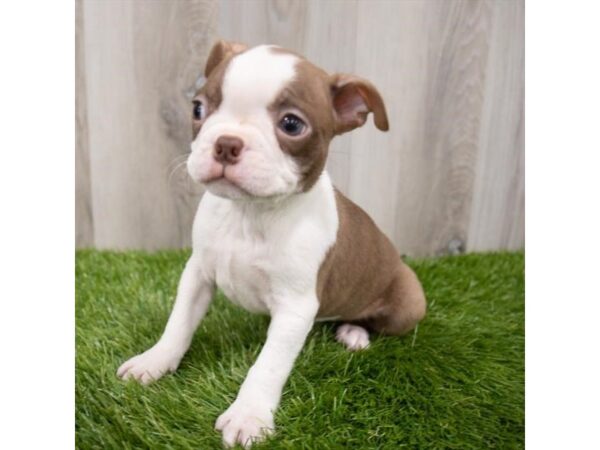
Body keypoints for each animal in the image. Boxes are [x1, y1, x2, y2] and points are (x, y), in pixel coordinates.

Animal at [118, 41, 426, 446]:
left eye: (291, 124)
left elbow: (268, 364)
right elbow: (178, 323)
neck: (249, 214)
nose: (226, 143)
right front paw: (154, 361)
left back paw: (354, 332)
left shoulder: (295, 308)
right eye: (198, 108)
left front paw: (248, 415)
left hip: (409, 302)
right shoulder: (197, 273)